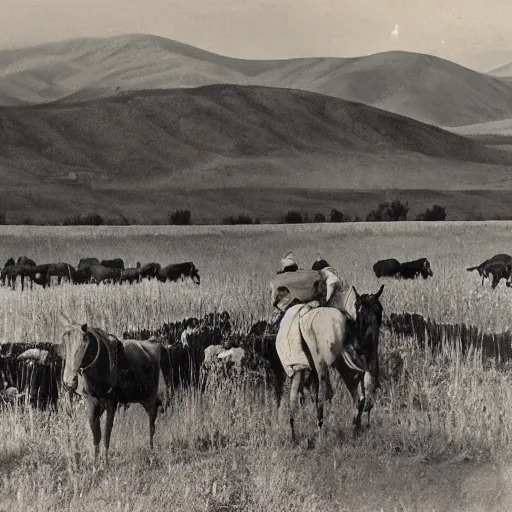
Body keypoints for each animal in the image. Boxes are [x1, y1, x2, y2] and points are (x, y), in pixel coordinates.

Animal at [58, 314, 170, 466]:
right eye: (64, 342)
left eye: (84, 344)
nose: (69, 382)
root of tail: (156, 344)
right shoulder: (91, 402)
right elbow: (95, 434)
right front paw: (94, 462)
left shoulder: (112, 402)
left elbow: (106, 433)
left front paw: (105, 462)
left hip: (152, 401)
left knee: (152, 426)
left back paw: (151, 452)